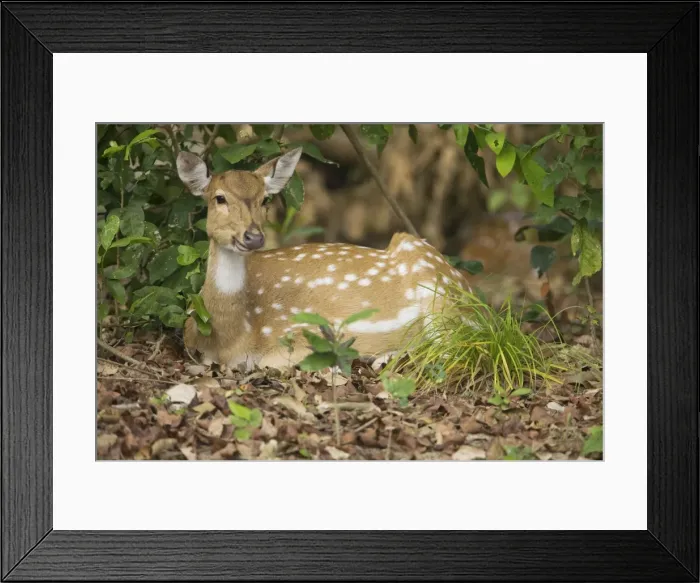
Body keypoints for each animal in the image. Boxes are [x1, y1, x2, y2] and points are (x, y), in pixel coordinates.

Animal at [176, 147, 469, 372]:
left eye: (265, 199)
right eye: (219, 198)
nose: (253, 237)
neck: (232, 338)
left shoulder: (305, 332)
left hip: (439, 293)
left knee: (450, 348)